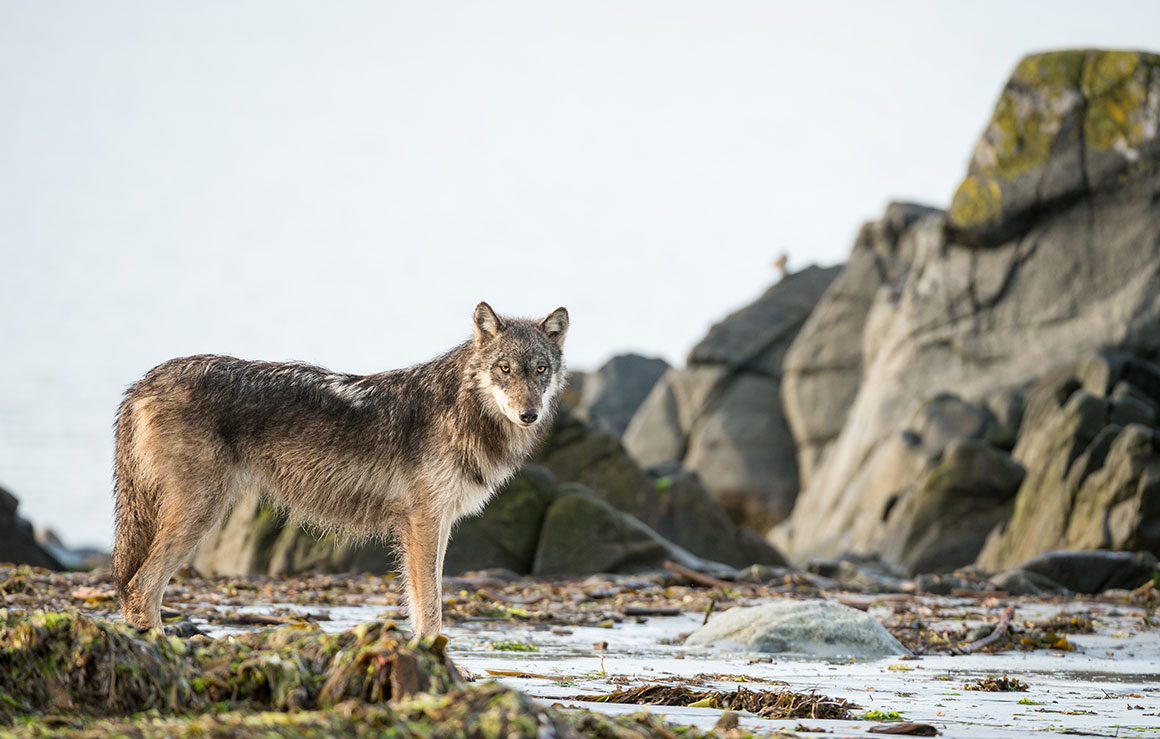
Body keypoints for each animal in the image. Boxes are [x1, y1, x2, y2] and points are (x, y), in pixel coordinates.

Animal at [110, 299, 573, 635]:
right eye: (505, 369)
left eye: (540, 370)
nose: (529, 415)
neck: (461, 409)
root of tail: (141, 384)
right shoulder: (422, 522)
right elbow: (430, 609)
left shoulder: (438, 524)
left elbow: (425, 604)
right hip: (200, 514)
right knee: (139, 589)